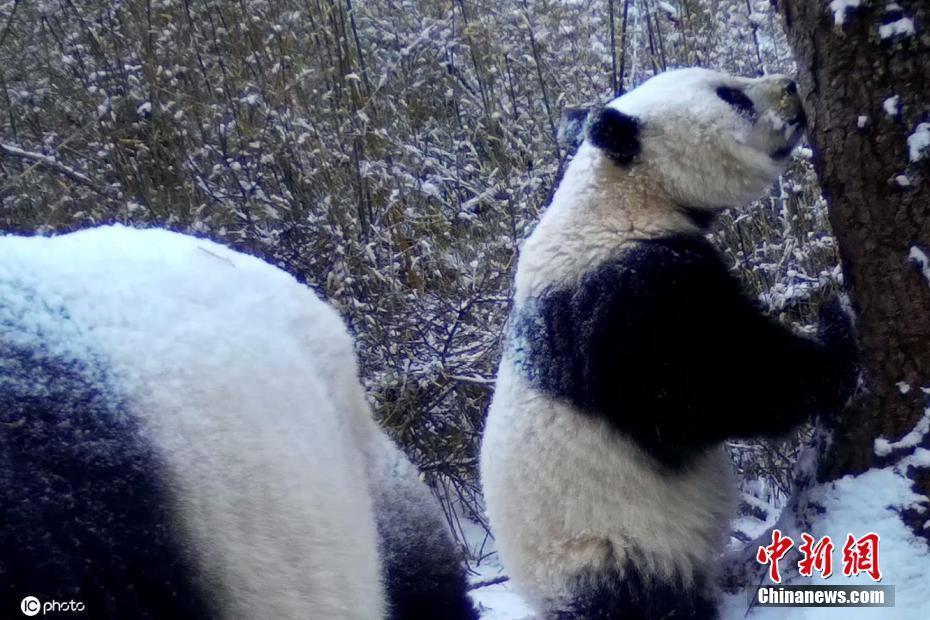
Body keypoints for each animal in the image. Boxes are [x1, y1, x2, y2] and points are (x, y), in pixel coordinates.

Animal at [478, 69, 856, 620]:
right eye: (731, 96)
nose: (790, 85)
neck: (621, 194)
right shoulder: (626, 301)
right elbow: (722, 379)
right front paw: (836, 328)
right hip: (612, 545)